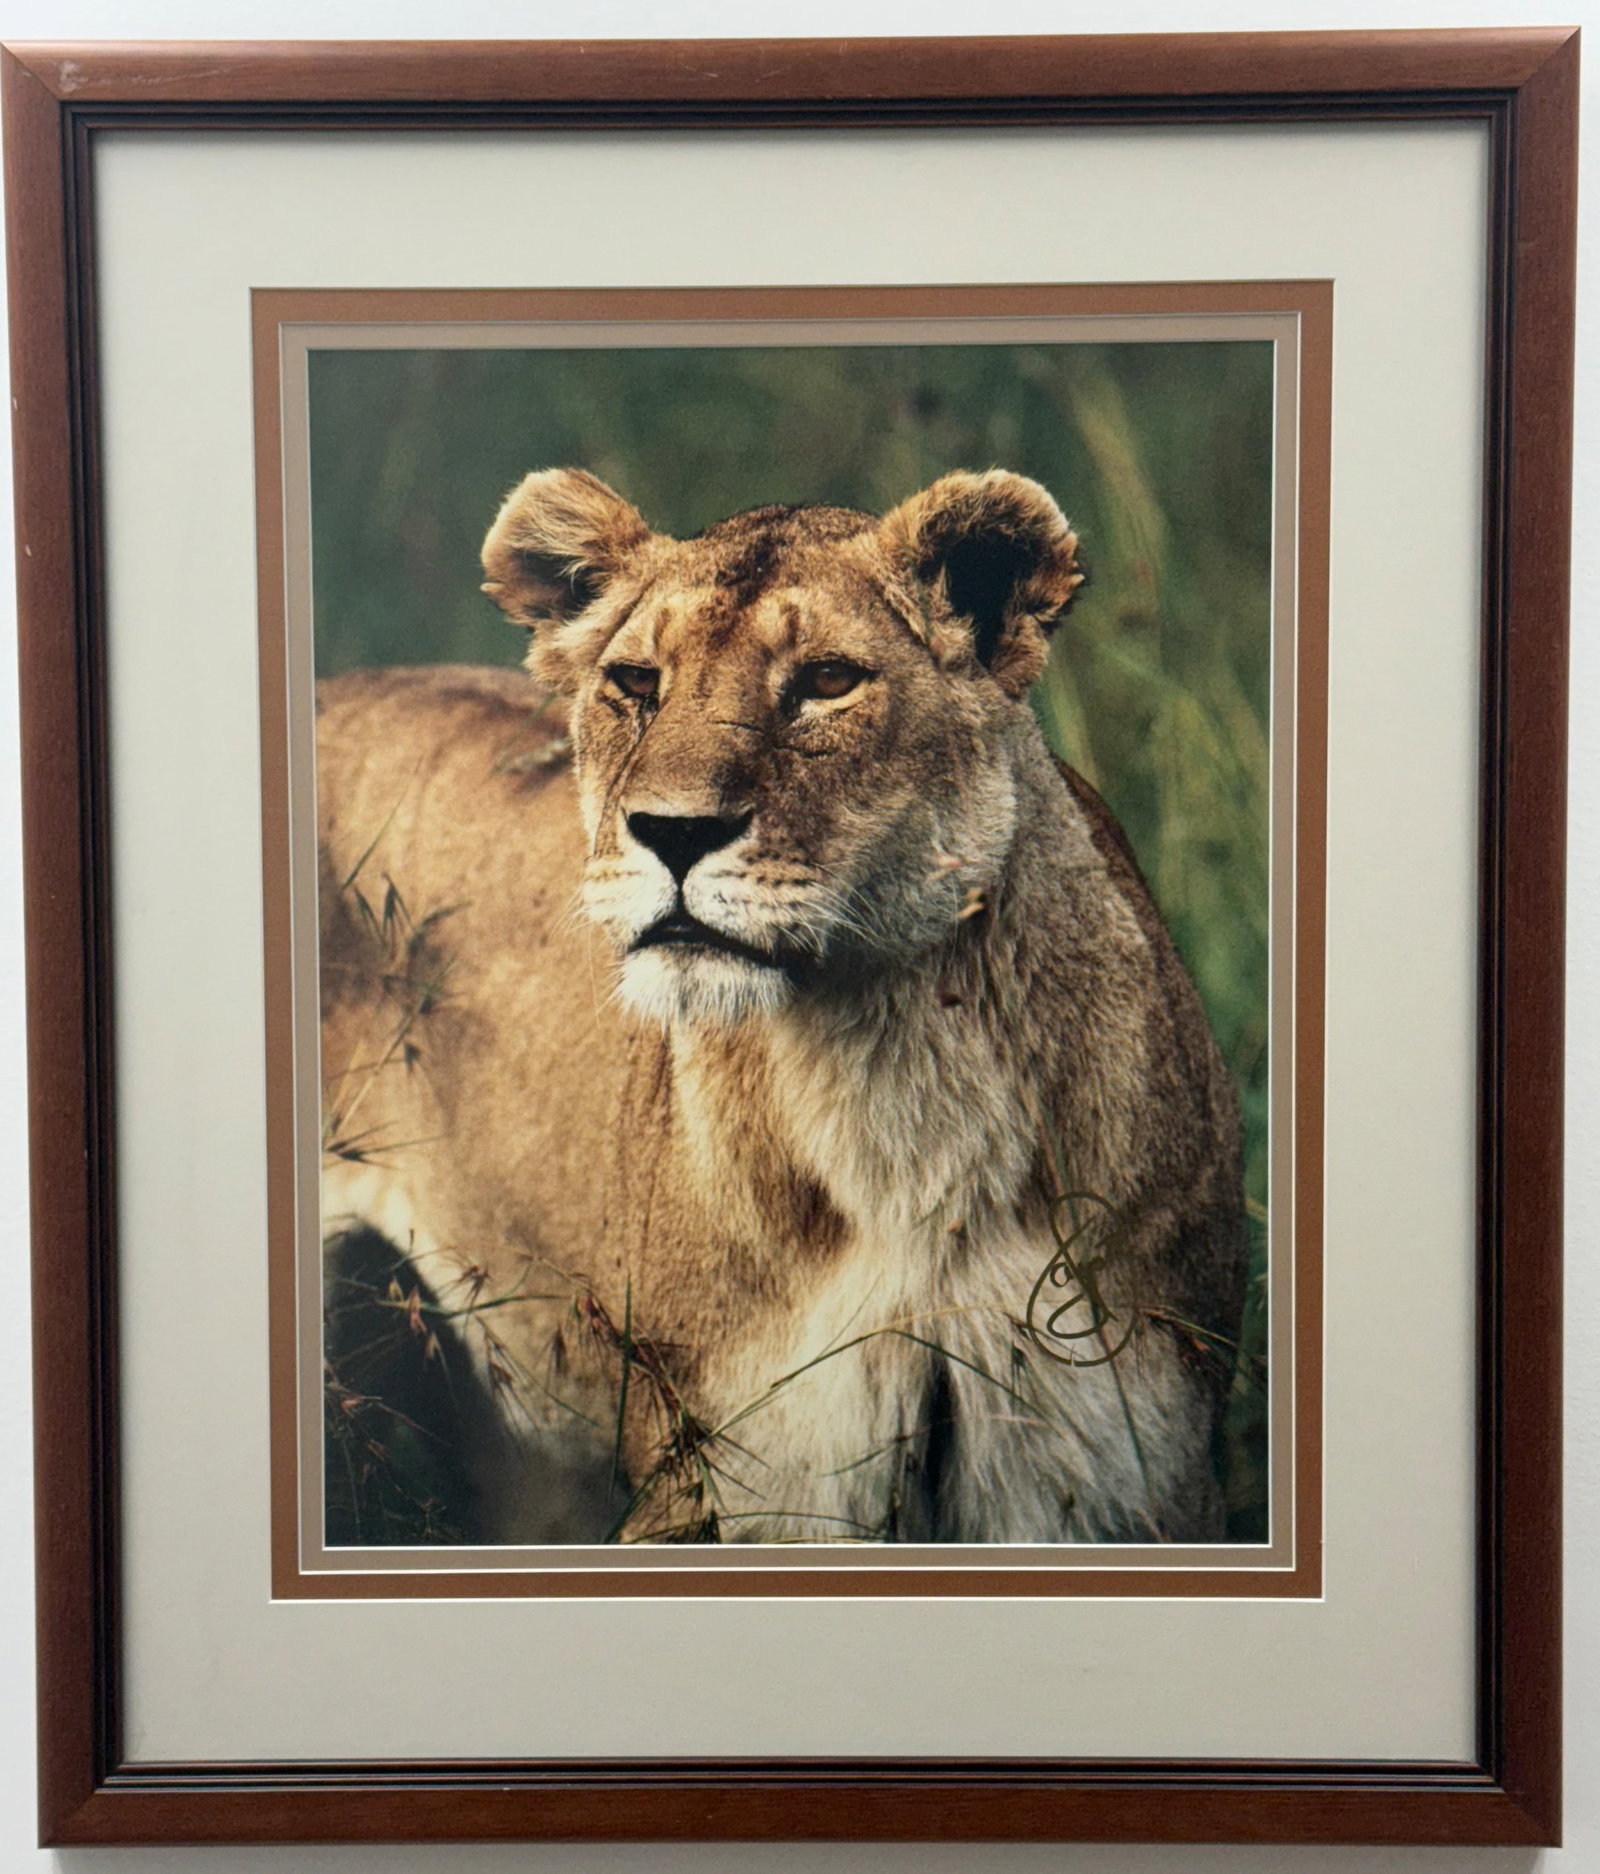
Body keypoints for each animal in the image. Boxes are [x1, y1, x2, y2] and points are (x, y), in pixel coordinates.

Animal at [317, 466, 1246, 1547]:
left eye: (827, 681)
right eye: (635, 683)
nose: (673, 832)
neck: (898, 1068)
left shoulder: (1113, 1468)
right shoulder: (740, 1475)